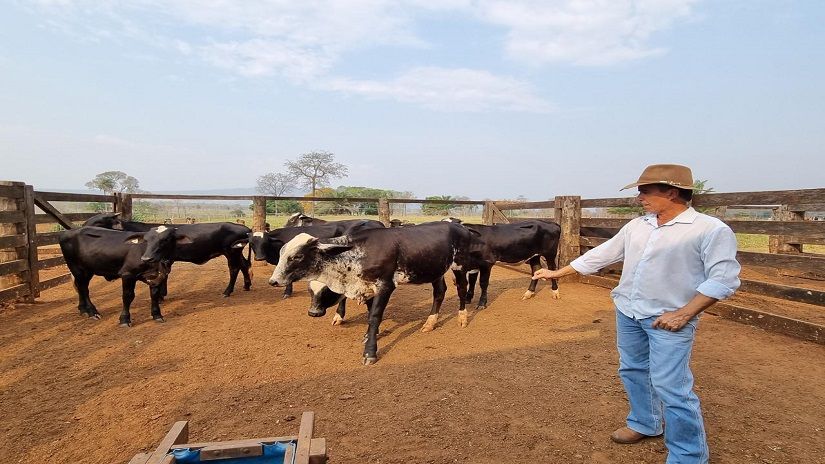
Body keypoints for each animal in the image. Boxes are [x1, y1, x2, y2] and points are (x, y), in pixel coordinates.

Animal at [59, 225, 192, 326]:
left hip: (87, 270)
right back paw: (92, 312)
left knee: (81, 287)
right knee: (83, 289)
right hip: (77, 268)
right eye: (146, 240)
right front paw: (124, 319)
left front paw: (157, 315)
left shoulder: (156, 277)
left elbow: (154, 295)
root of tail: (69, 231)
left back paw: (83, 309)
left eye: (165, 240)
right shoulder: (127, 274)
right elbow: (128, 296)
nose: (146, 258)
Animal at [84, 213, 253, 298]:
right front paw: (162, 295)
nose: (83, 229)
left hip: (231, 252)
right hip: (236, 252)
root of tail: (244, 228)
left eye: (98, 222)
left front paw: (160, 296)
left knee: (234, 269)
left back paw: (227, 291)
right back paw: (246, 285)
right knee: (244, 265)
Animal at [268, 222, 482, 366]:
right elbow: (371, 313)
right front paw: (368, 335)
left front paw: (370, 352)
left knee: (461, 289)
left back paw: (462, 318)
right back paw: (430, 322)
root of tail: (459, 225)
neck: (356, 253)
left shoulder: (385, 286)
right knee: (440, 292)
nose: (273, 281)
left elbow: (374, 316)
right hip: (435, 269)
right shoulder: (367, 287)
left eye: (297, 256)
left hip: (459, 265)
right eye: (310, 290)